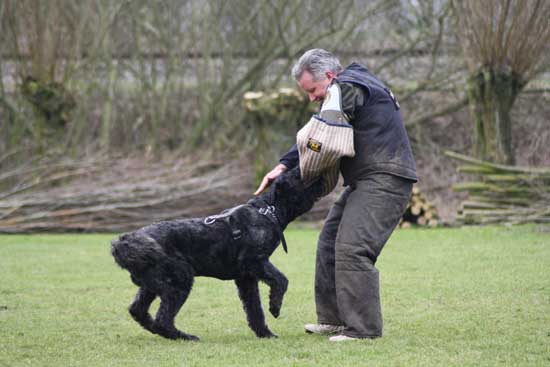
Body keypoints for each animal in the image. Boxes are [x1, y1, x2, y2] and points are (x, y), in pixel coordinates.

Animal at [110, 169, 322, 342]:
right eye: (299, 175)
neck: (268, 211)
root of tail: (126, 242)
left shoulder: (246, 278)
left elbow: (255, 310)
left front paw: (265, 333)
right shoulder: (255, 262)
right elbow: (281, 280)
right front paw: (275, 306)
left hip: (151, 284)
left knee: (138, 310)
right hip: (179, 280)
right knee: (162, 318)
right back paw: (185, 336)